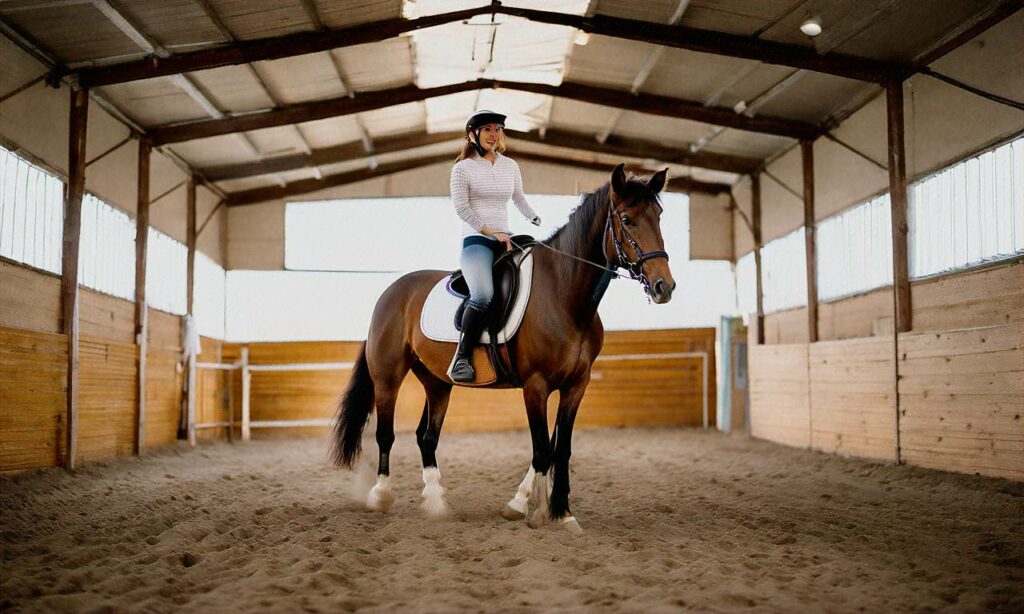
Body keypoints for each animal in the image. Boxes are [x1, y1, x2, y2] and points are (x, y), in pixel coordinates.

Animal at [331, 162, 675, 532]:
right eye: (626, 219)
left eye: (658, 215)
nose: (664, 286)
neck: (564, 294)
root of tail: (391, 292)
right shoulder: (536, 386)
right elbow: (542, 449)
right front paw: (530, 509)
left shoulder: (576, 386)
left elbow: (560, 449)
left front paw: (559, 513)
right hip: (388, 377)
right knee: (385, 434)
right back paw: (380, 496)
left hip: (437, 383)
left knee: (426, 436)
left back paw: (436, 504)